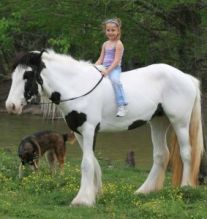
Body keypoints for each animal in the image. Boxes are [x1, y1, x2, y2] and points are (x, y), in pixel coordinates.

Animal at [5, 48, 204, 206]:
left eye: (27, 75)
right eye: (13, 75)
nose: (11, 106)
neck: (77, 87)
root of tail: (186, 78)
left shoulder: (89, 130)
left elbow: (86, 163)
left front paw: (83, 200)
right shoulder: (79, 132)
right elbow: (93, 161)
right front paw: (95, 193)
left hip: (180, 122)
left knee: (186, 153)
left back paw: (185, 188)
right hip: (158, 121)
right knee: (162, 155)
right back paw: (145, 191)